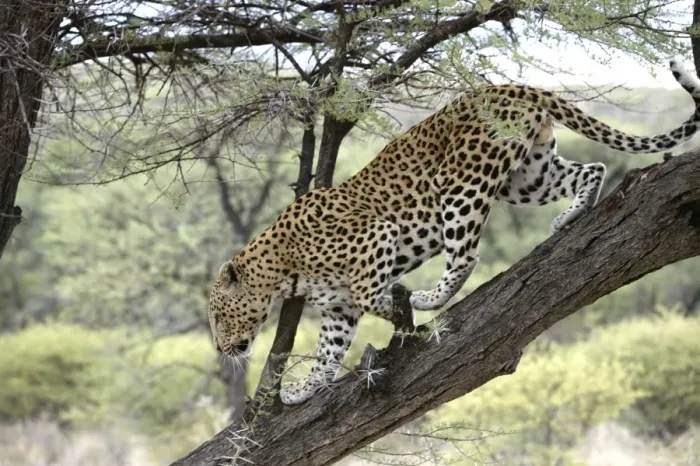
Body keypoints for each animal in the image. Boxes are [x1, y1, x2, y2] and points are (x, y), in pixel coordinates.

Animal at [208, 56, 700, 405]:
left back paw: (430, 297)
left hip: (462, 183)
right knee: (591, 169)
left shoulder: (375, 238)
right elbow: (328, 351)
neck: (281, 269)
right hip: (526, 177)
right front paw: (303, 390)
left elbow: (372, 296)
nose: (220, 349)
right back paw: (571, 216)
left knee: (465, 254)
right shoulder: (337, 309)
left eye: (218, 316)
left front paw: (400, 310)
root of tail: (508, 84)